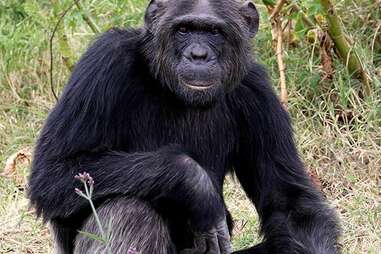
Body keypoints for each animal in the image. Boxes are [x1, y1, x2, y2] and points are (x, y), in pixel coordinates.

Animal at [28, 0, 340, 253]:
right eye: (184, 29)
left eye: (213, 32)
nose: (198, 55)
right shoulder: (103, 62)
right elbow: (54, 171)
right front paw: (196, 186)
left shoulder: (259, 93)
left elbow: (290, 202)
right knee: (128, 209)